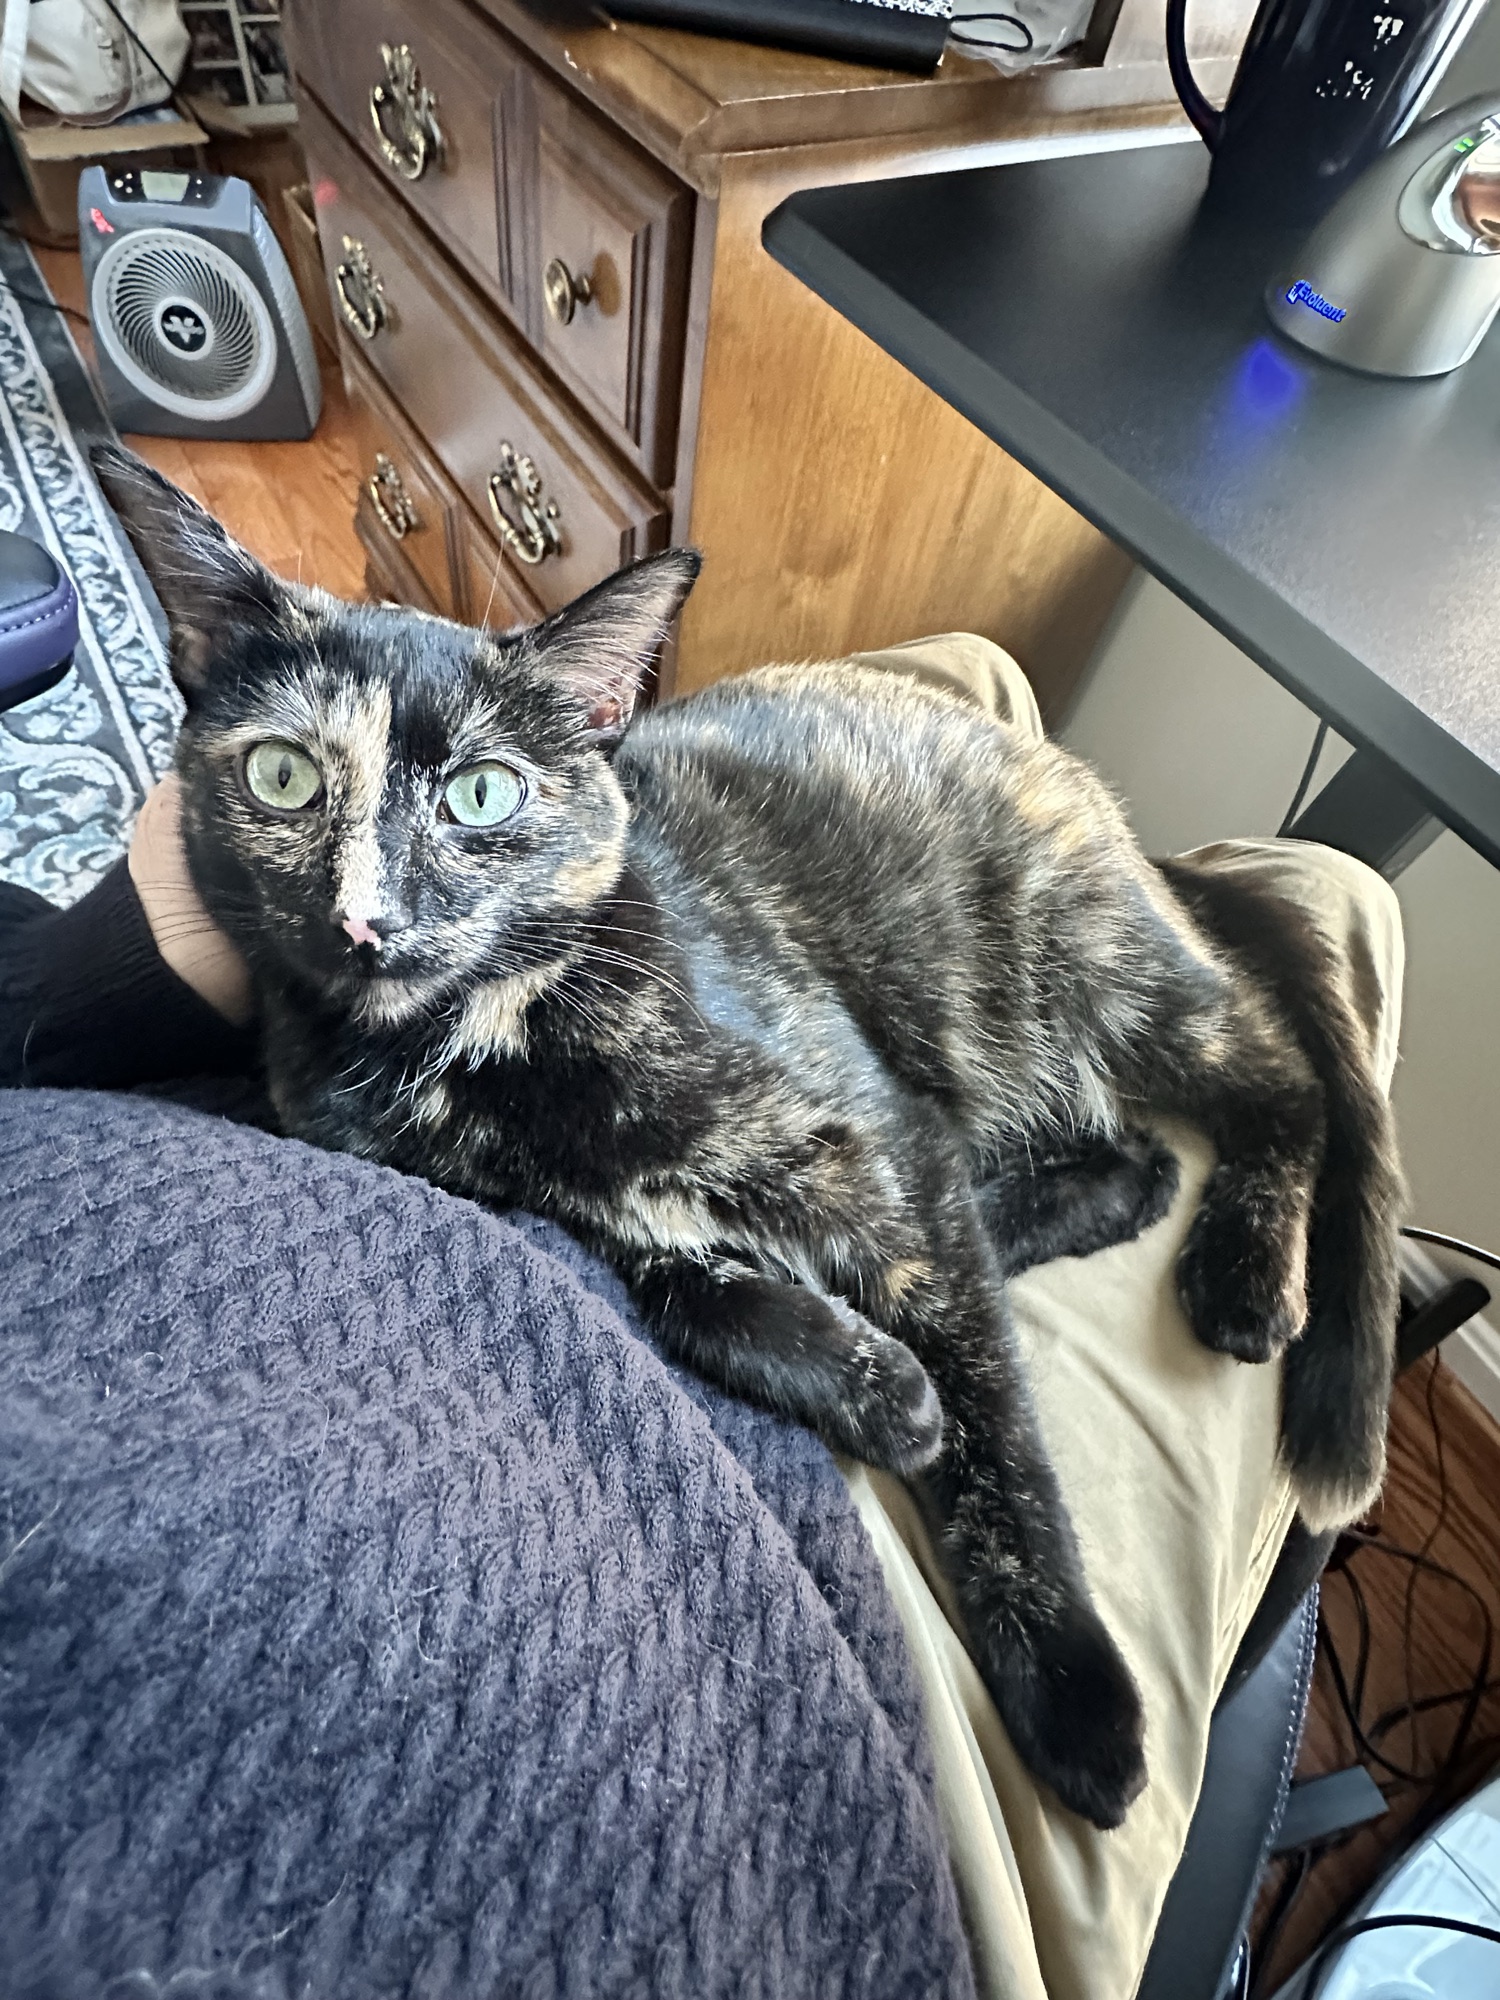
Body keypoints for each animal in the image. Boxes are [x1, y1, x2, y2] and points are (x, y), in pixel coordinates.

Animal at [96, 445, 1403, 1831]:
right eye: (283, 776)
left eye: (481, 794)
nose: (366, 919)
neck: (474, 1055)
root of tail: (1111, 817)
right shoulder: (600, 1202)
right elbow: (677, 1289)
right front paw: (880, 1387)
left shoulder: (868, 1131)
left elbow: (998, 1440)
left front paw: (1072, 1689)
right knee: (1120, 1166)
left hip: (1100, 971)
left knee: (1277, 1084)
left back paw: (1242, 1273)